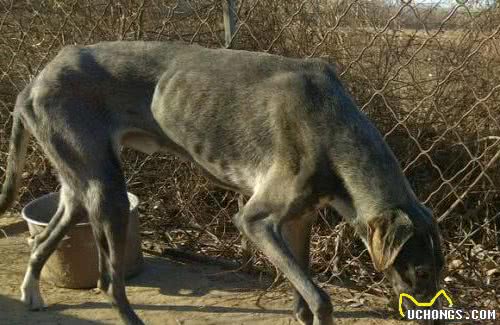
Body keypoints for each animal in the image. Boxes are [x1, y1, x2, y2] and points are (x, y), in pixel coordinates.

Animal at [0, 41, 446, 324]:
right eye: (422, 272)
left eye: (441, 270)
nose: (437, 317)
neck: (333, 128)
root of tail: (34, 81)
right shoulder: (255, 221)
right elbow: (320, 298)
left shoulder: (300, 219)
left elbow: (303, 295)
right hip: (107, 189)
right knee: (110, 283)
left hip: (78, 184)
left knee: (42, 239)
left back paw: (32, 292)